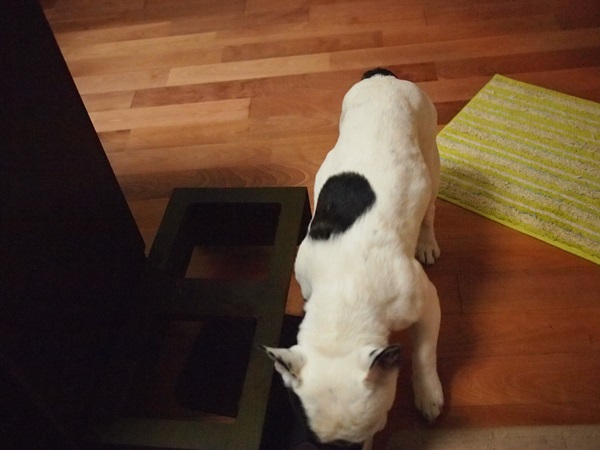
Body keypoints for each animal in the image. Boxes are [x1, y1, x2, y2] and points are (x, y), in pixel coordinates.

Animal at [263, 68, 444, 447]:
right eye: (315, 441)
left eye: (366, 435)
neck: (343, 303)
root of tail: (383, 77)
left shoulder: (425, 304)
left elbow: (424, 353)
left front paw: (427, 395)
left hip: (429, 153)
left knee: (430, 208)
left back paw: (426, 242)